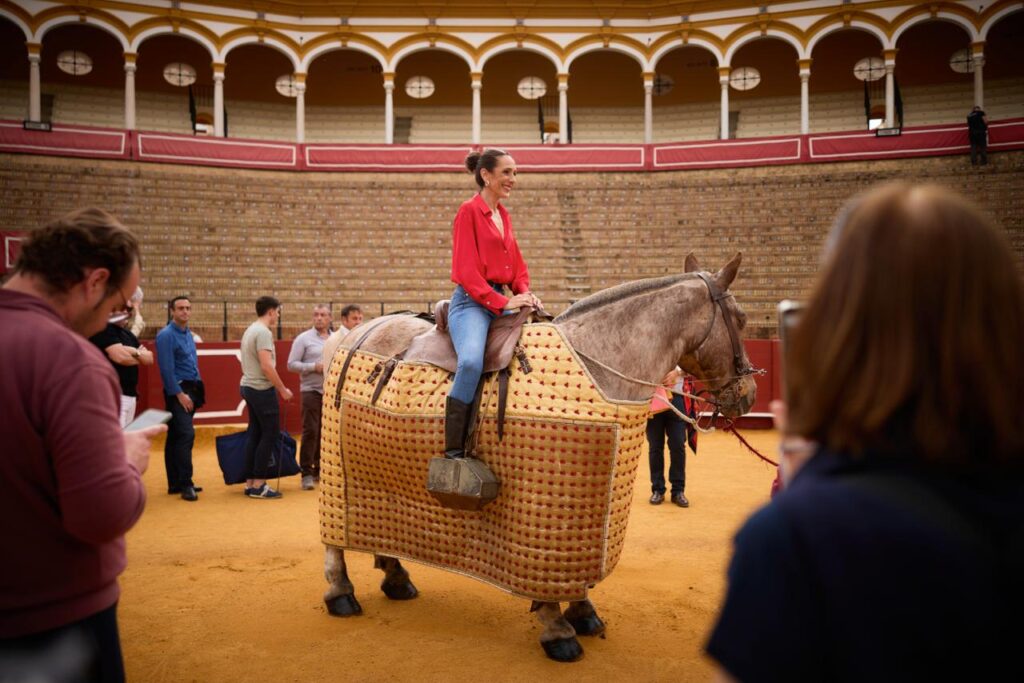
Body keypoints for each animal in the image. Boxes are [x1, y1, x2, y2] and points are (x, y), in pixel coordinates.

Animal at [318, 253, 758, 662]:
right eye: (741, 318)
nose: (749, 395)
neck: (600, 362)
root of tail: (359, 330)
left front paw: (584, 611)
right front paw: (558, 629)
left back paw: (395, 575)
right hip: (334, 467)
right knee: (333, 540)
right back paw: (341, 592)